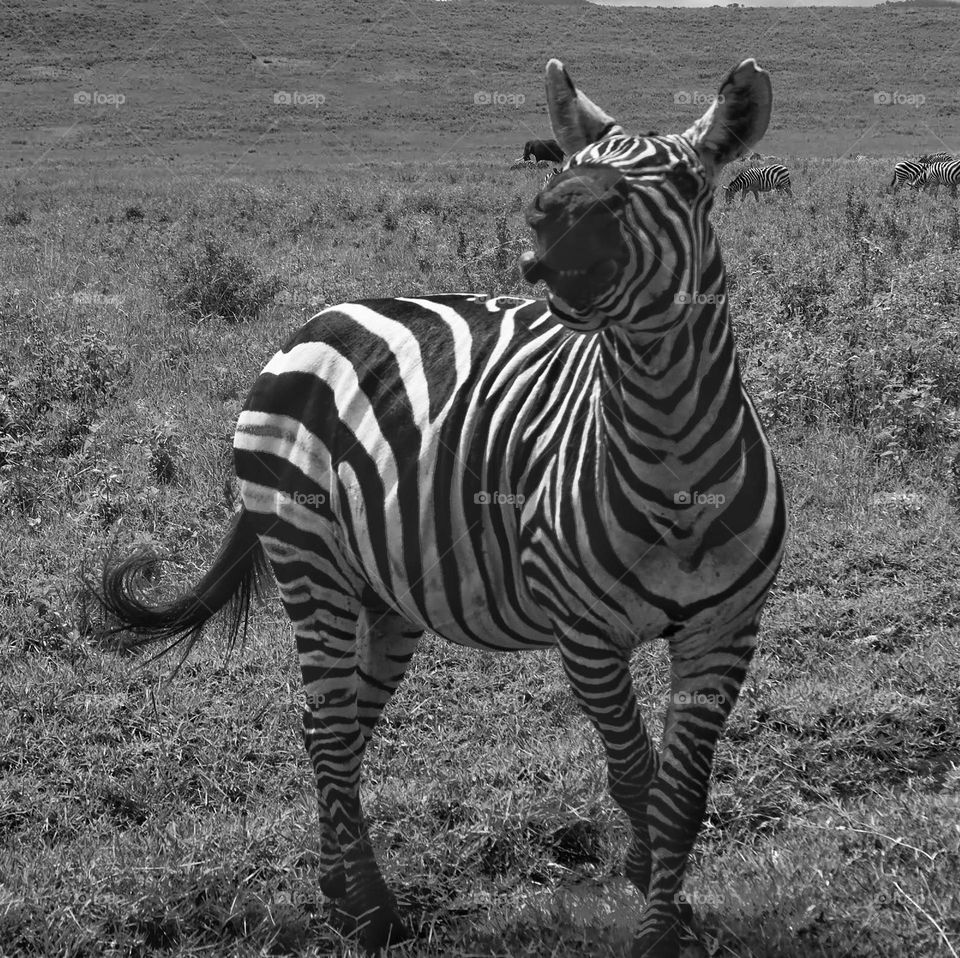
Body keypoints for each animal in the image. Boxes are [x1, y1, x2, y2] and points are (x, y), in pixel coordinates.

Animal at [96, 56, 786, 958]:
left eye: (683, 184)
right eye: (568, 167)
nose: (552, 216)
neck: (671, 461)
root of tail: (315, 318)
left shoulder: (725, 631)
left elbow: (682, 794)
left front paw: (669, 912)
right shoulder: (586, 637)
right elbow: (636, 775)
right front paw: (649, 912)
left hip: (387, 592)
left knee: (333, 727)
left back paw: (343, 892)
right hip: (307, 557)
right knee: (327, 725)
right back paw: (371, 915)